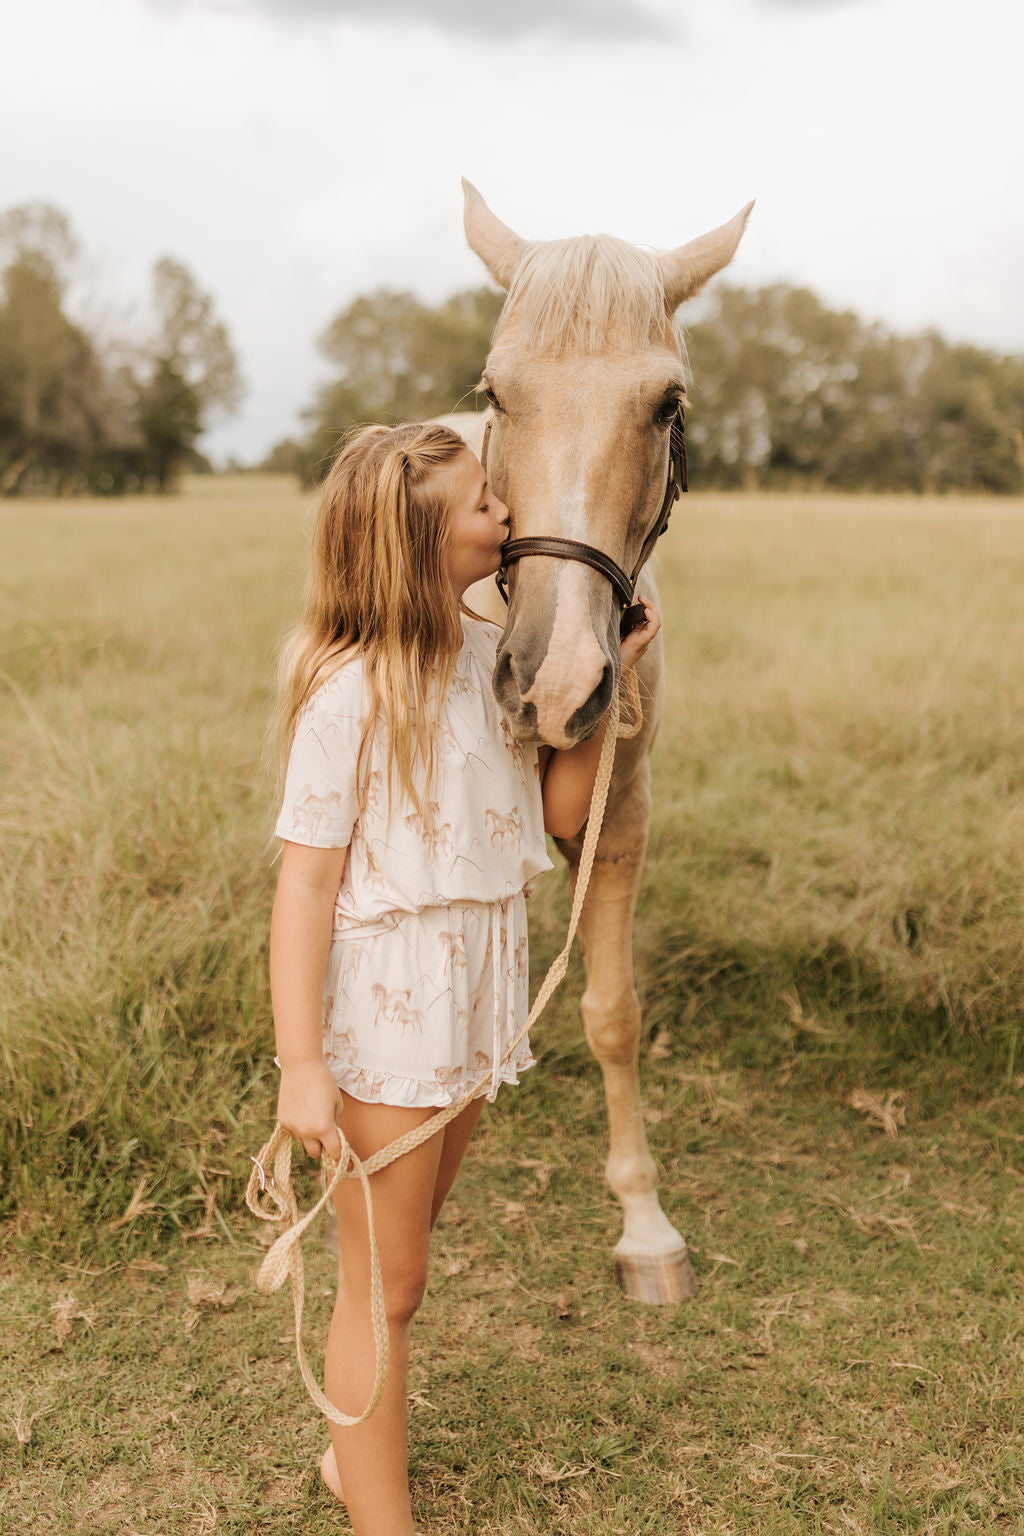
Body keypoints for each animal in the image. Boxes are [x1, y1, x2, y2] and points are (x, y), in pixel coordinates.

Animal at [442, 179, 752, 1308]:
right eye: (496, 388)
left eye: (666, 403)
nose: (556, 681)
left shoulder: (619, 813)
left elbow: (613, 1010)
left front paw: (644, 1226)